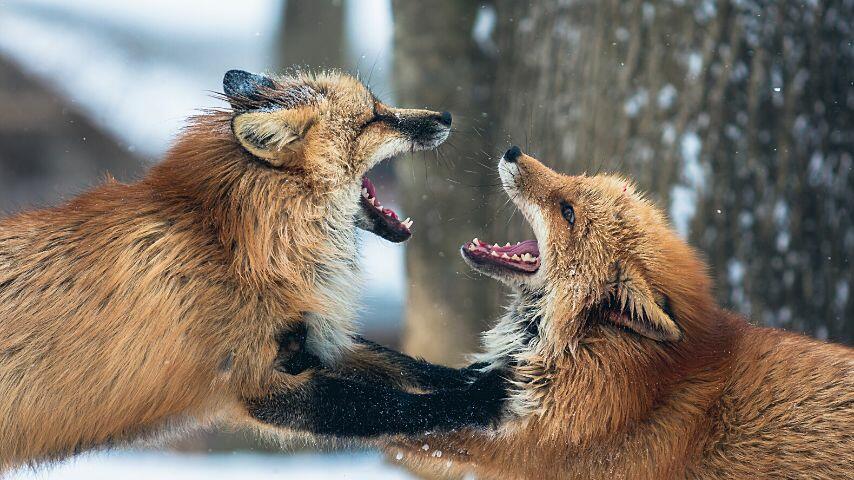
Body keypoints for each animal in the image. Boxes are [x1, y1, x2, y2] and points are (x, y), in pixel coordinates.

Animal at [0, 69, 508, 470]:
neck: (237, 247)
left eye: (380, 105)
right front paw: (484, 399)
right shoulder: (262, 383)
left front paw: (481, 374)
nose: (446, 117)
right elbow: (394, 406)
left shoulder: (314, 339)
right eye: (372, 118)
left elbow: (406, 365)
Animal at [392, 147, 854, 480]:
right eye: (576, 181)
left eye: (568, 212)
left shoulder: (522, 449)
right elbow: (416, 373)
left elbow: (407, 420)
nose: (512, 150)